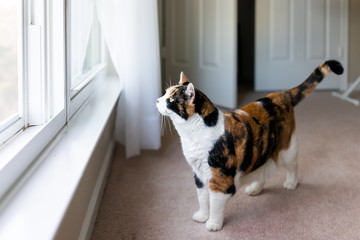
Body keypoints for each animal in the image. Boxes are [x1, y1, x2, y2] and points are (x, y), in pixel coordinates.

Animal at [156, 59, 344, 231]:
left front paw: (213, 224)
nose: (157, 100)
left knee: (293, 166)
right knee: (262, 168)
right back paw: (255, 188)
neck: (193, 135)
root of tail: (279, 95)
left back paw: (291, 183)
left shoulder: (220, 179)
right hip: (260, 151)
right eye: (165, 93)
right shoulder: (199, 174)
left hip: (287, 149)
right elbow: (202, 198)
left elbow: (215, 203)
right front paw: (202, 216)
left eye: (170, 99)